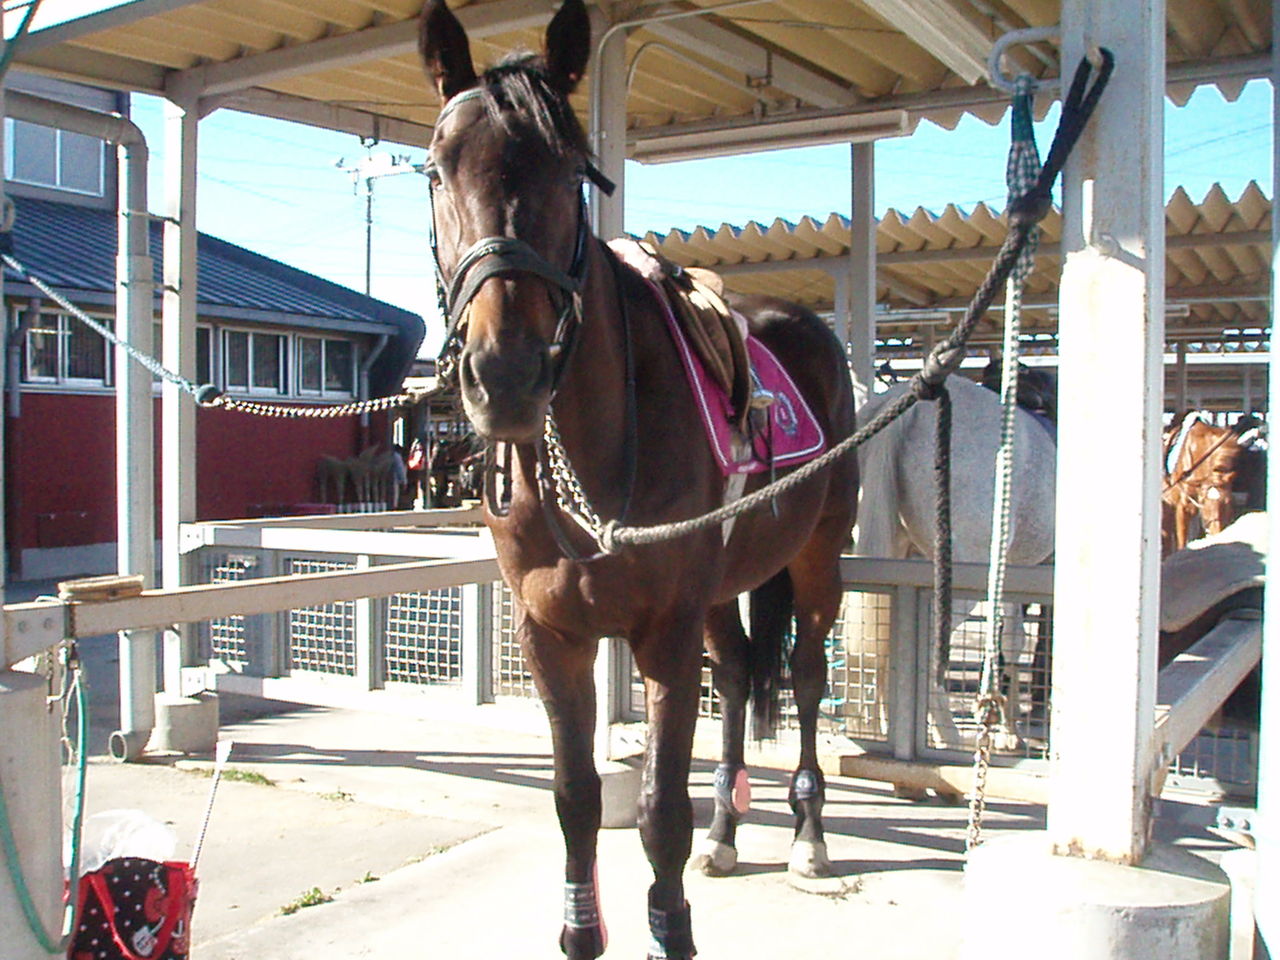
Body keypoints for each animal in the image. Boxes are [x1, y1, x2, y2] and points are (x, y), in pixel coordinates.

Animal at [416, 2, 858, 956]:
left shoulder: (663, 634)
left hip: (816, 560)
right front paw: (583, 930)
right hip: (727, 587)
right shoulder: (553, 636)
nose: (505, 376)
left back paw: (808, 837)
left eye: (572, 174)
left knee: (805, 678)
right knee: (741, 671)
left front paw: (672, 928)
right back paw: (730, 834)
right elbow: (576, 802)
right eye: (435, 170)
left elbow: (659, 813)